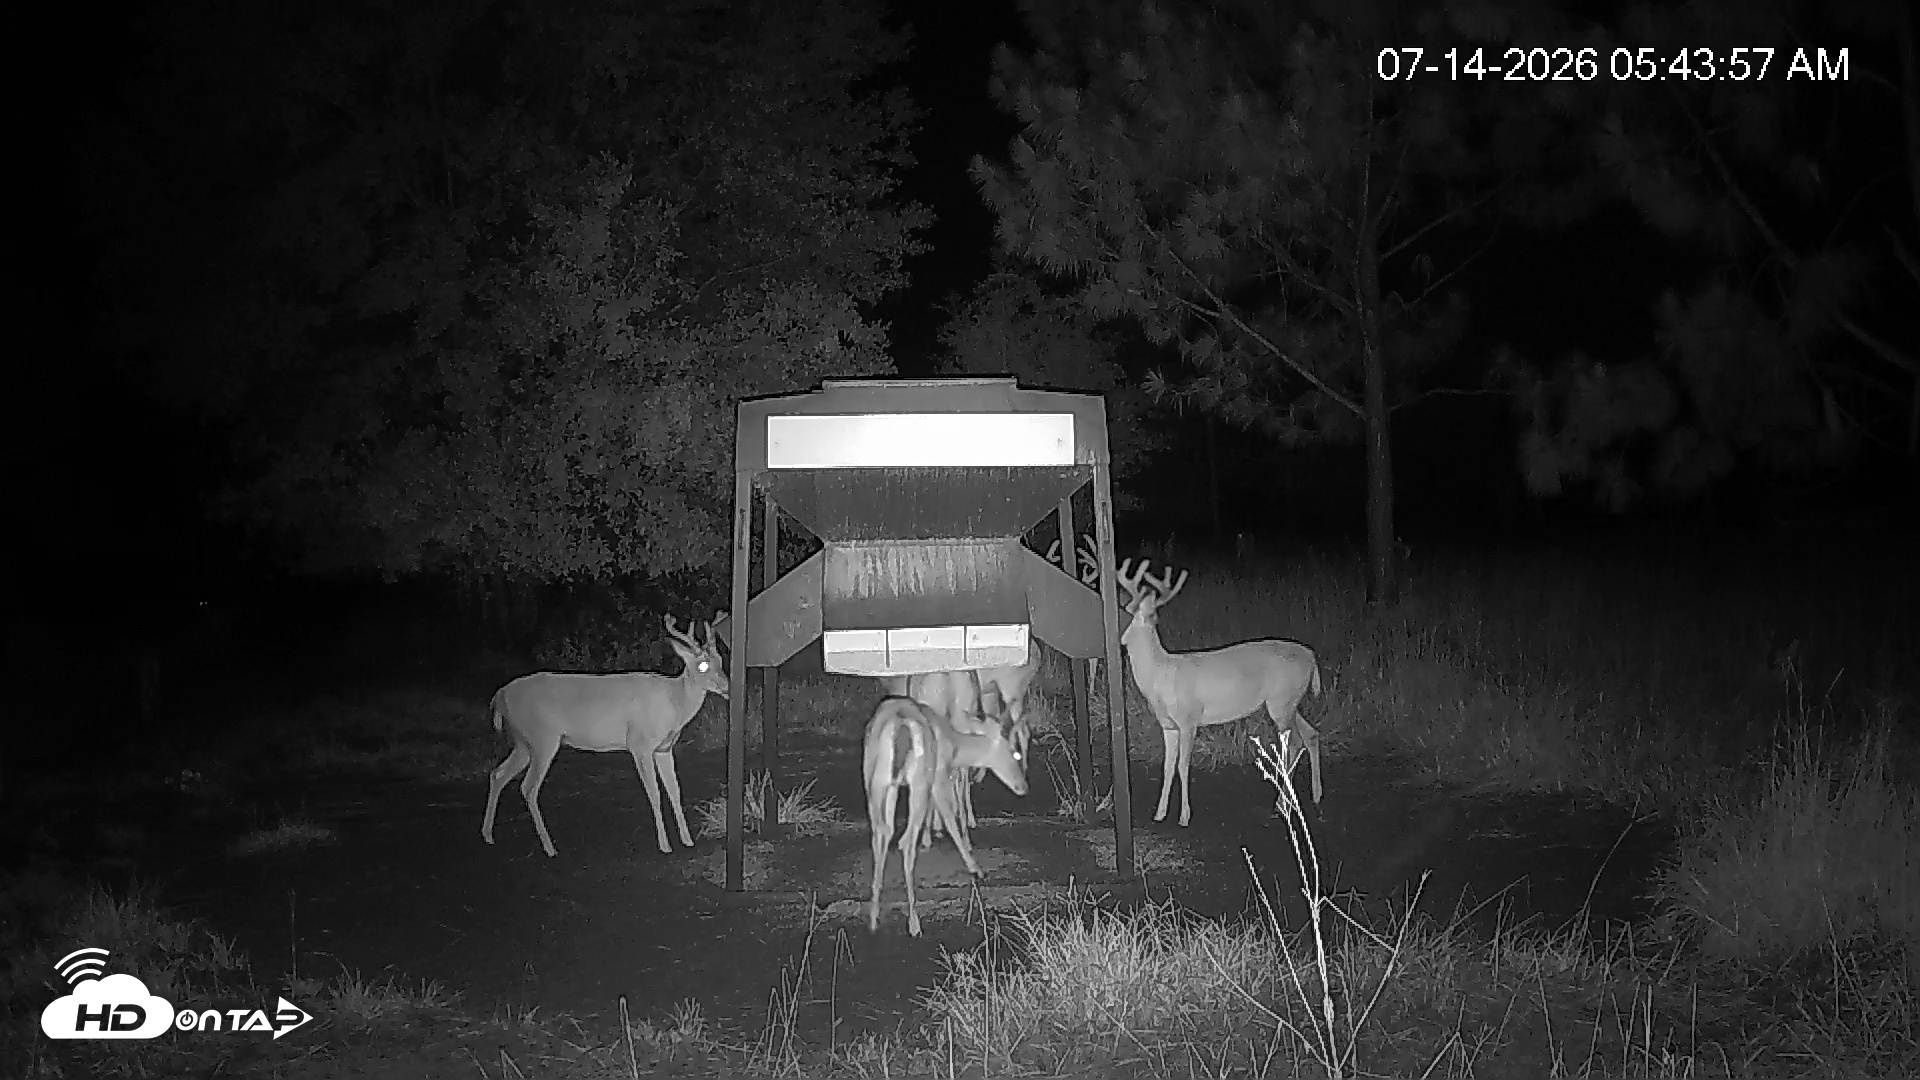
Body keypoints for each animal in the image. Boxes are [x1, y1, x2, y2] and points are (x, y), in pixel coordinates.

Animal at [481, 615, 728, 857]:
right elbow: (655, 793)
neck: (674, 702)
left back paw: (488, 835)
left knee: (498, 774)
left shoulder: (664, 748)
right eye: (702, 665)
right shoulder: (639, 744)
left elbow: (675, 791)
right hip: (542, 738)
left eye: (720, 661)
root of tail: (499, 696)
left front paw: (687, 840)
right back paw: (550, 848)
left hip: (523, 742)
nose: (727, 687)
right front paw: (665, 845)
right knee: (528, 787)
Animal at [863, 694, 1028, 936]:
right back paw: (914, 923)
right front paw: (976, 868)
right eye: (1014, 753)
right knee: (905, 841)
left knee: (880, 835)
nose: (1023, 787)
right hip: (919, 781)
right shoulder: (939, 777)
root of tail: (900, 728)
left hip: (877, 781)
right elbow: (951, 817)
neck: (954, 747)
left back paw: (874, 918)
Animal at [1116, 560, 1323, 826]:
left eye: (1123, 613)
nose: (1117, 639)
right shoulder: (1168, 725)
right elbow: (1167, 766)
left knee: (1295, 742)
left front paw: (1184, 816)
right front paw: (1160, 813)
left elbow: (1183, 766)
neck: (1160, 675)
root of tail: (1311, 656)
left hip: (1282, 702)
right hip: (1288, 702)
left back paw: (1282, 803)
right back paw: (1315, 795)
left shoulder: (1189, 719)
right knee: (1311, 734)